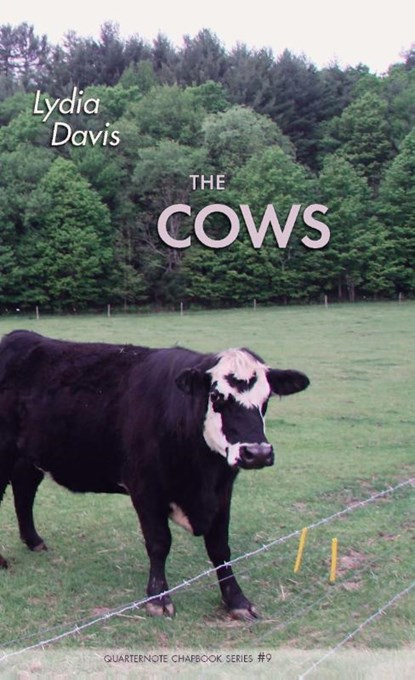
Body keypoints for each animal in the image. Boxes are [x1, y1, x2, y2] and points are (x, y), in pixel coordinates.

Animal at [0, 330, 309, 619]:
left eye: (266, 398)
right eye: (216, 395)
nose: (257, 452)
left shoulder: (222, 491)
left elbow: (220, 547)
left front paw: (236, 600)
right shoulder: (145, 487)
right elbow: (159, 543)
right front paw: (158, 598)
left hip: (28, 457)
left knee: (24, 491)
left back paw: (34, 540)